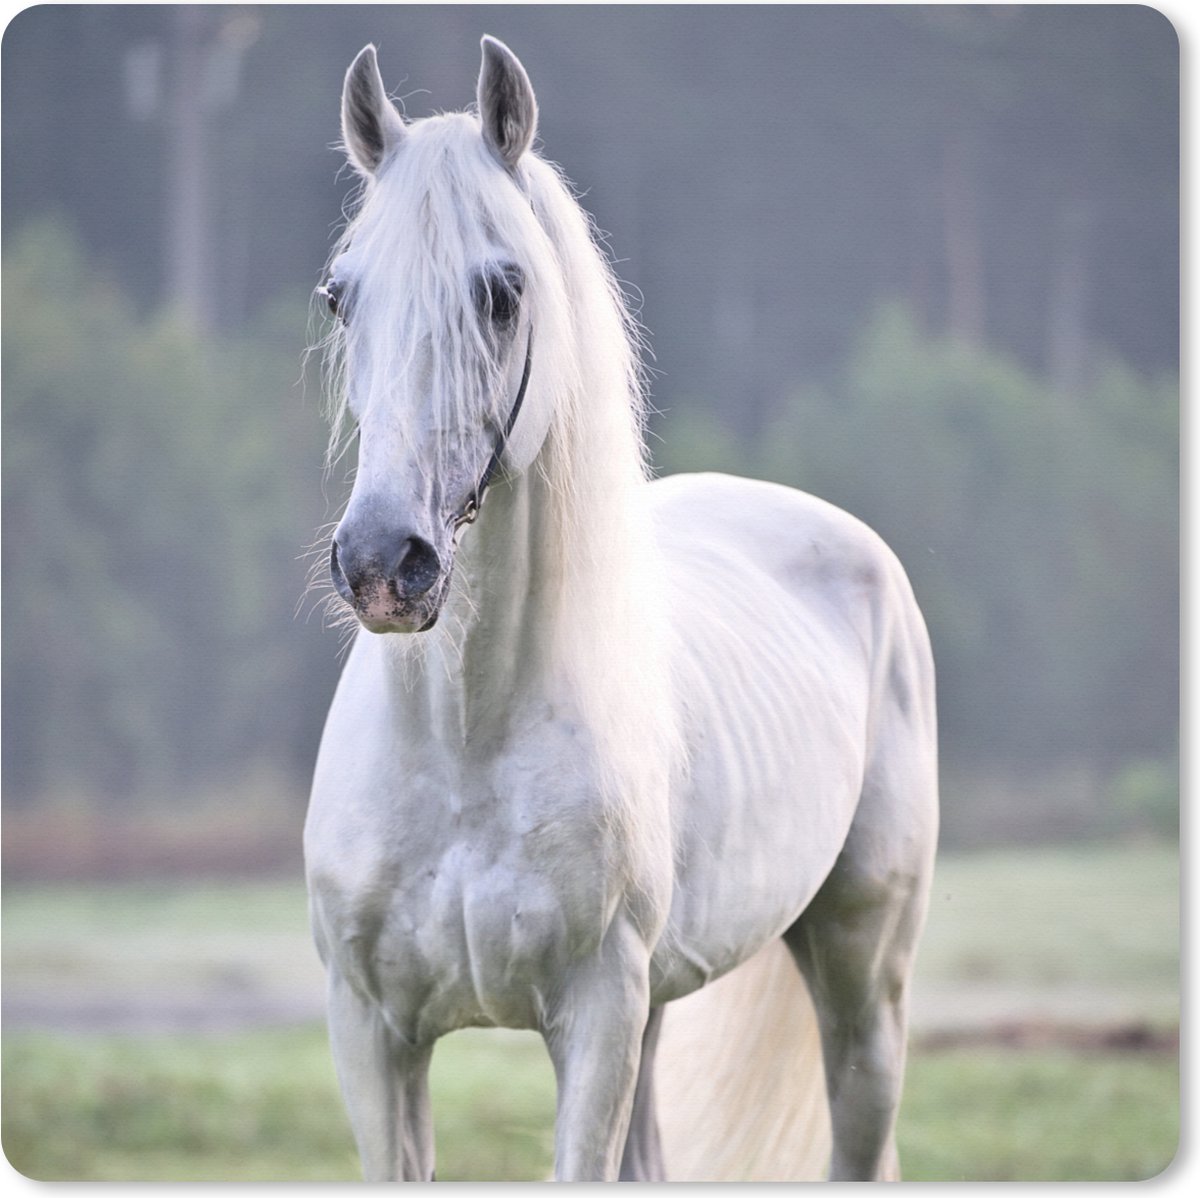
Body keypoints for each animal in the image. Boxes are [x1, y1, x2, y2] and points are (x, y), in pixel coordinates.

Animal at [304, 36, 938, 1183]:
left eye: (503, 291)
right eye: (341, 296)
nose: (383, 563)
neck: (464, 744)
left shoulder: (595, 1017)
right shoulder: (372, 1033)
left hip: (862, 986)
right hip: (660, 1007)